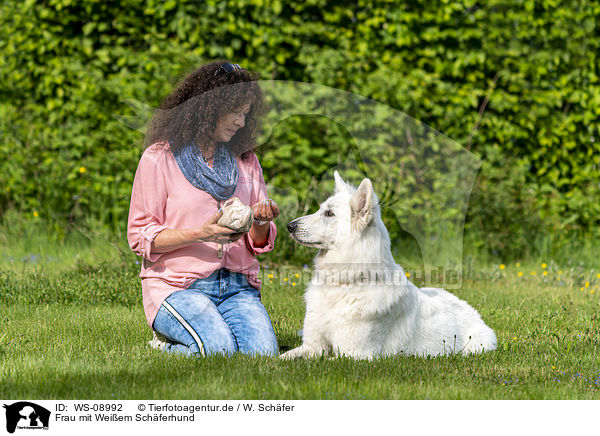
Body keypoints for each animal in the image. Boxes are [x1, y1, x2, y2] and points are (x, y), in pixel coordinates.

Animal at [282, 172, 496, 360]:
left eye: (329, 214)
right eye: (321, 210)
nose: (289, 226)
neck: (343, 285)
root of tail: (476, 315)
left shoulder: (354, 355)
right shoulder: (312, 347)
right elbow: (281, 357)